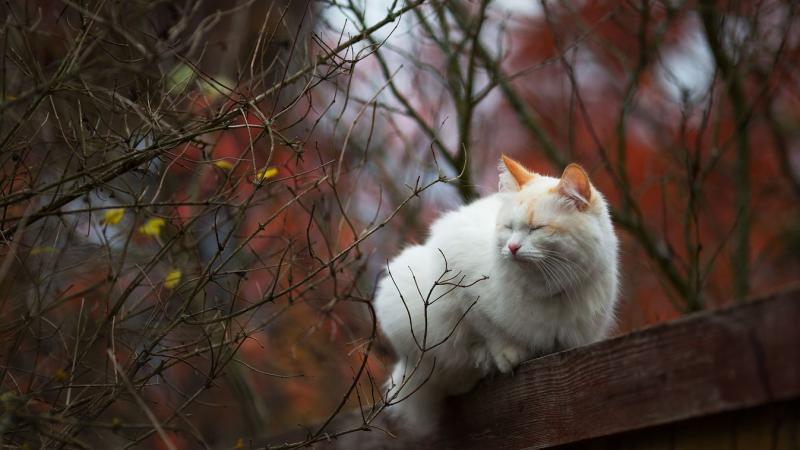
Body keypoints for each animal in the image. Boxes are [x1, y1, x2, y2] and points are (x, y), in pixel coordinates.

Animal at [374, 156, 620, 440]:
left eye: (536, 229)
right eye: (509, 228)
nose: (512, 248)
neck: (550, 288)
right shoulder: (462, 289)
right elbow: (489, 331)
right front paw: (506, 356)